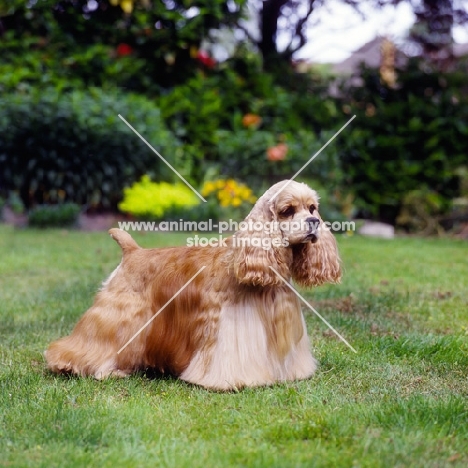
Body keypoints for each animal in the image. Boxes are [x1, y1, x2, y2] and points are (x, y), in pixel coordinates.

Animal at [45, 181, 340, 390]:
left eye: (312, 208)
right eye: (287, 211)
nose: (314, 222)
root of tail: (133, 251)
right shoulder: (229, 327)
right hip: (116, 314)